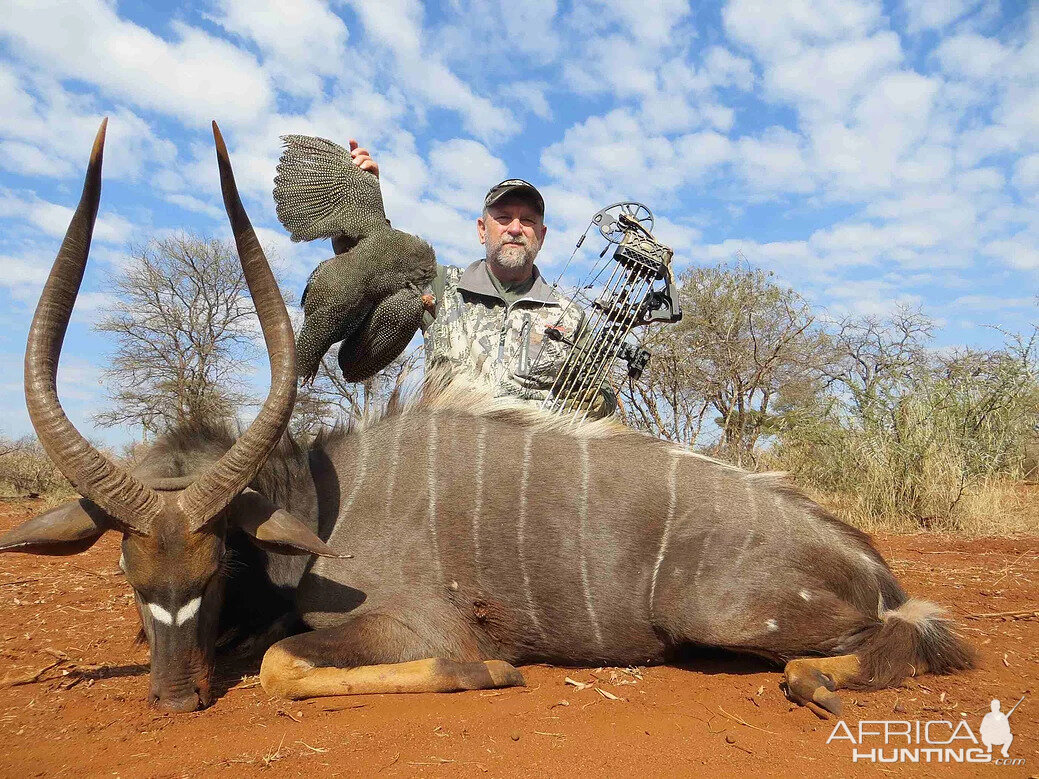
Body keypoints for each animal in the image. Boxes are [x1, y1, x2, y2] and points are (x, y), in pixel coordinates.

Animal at [0, 120, 972, 714]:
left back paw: (818, 681)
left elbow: (285, 664)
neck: (320, 505)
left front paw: (494, 665)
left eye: (215, 560)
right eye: (129, 569)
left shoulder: (412, 621)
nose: (172, 696)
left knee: (887, 641)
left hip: (736, 619)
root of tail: (869, 565)